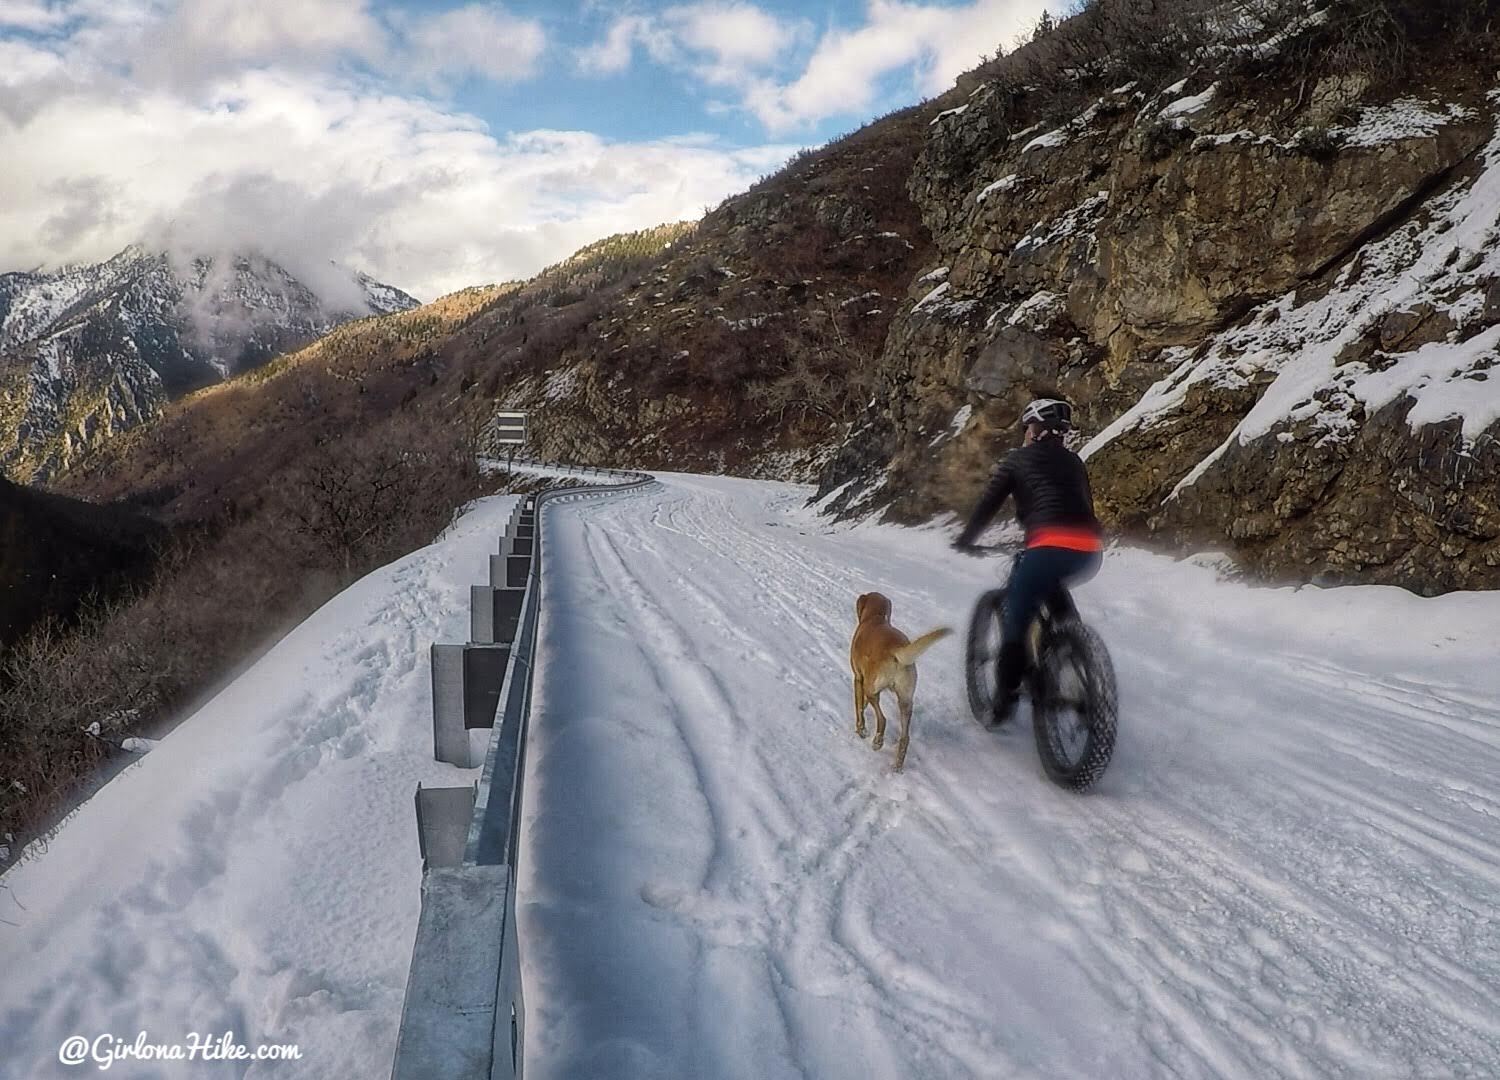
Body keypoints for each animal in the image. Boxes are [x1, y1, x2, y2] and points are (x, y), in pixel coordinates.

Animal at [852, 594, 954, 774]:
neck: (874, 617)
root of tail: (896, 650)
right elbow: (862, 704)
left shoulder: (858, 679)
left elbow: (859, 708)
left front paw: (861, 730)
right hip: (905, 701)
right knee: (905, 738)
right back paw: (897, 767)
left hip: (872, 689)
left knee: (883, 719)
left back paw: (877, 742)